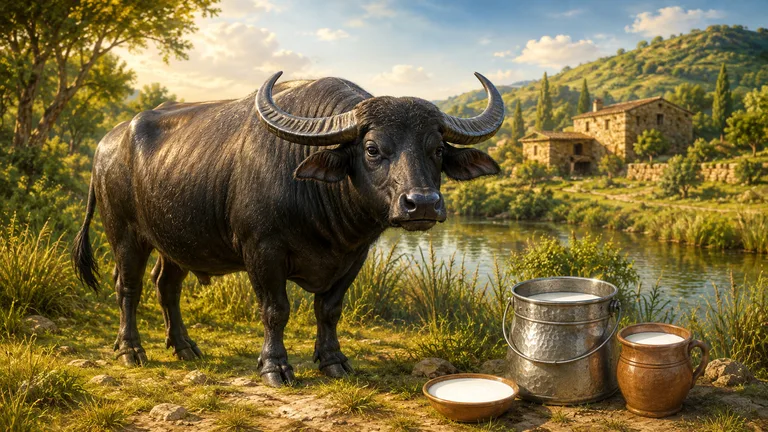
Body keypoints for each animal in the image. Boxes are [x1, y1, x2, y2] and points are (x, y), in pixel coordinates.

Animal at [73, 71, 504, 386]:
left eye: (437, 149)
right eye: (372, 149)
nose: (423, 204)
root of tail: (107, 143)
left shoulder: (355, 255)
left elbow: (329, 309)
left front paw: (333, 361)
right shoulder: (262, 251)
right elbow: (275, 310)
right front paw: (274, 367)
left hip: (175, 241)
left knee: (167, 287)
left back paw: (184, 347)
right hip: (125, 234)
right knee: (128, 287)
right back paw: (131, 350)